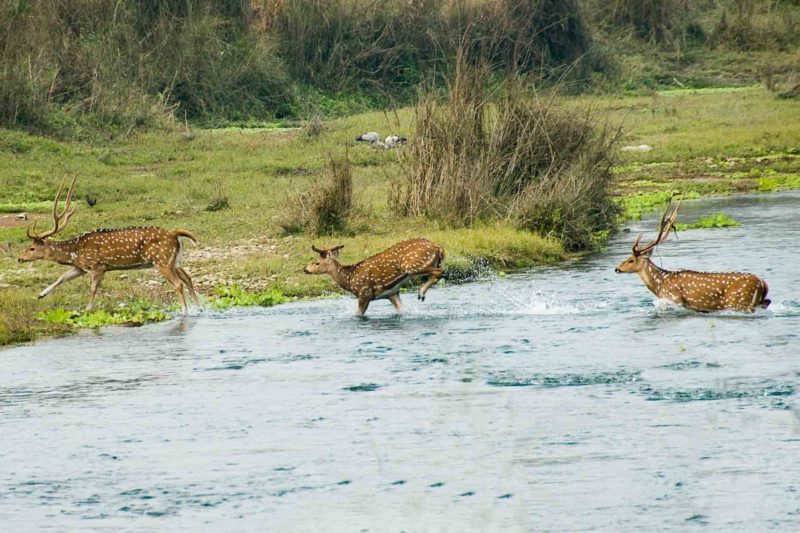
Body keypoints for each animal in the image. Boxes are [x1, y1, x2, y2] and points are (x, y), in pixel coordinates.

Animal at [17, 177, 200, 314]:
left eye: (32, 248)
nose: (19, 258)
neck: (74, 252)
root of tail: (175, 233)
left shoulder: (98, 266)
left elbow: (92, 289)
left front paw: (87, 309)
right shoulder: (80, 267)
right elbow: (62, 277)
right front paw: (41, 294)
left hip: (161, 260)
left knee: (178, 283)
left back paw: (185, 312)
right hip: (175, 260)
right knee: (188, 278)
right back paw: (199, 308)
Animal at [304, 238, 446, 316]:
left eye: (316, 262)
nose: (306, 269)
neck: (349, 280)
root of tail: (439, 247)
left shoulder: (364, 292)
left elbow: (358, 314)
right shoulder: (391, 293)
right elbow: (401, 310)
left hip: (413, 266)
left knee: (440, 271)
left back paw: (421, 292)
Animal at [616, 197, 772, 310]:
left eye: (630, 259)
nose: (617, 268)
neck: (660, 285)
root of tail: (762, 283)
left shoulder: (675, 300)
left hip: (739, 301)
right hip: (758, 302)